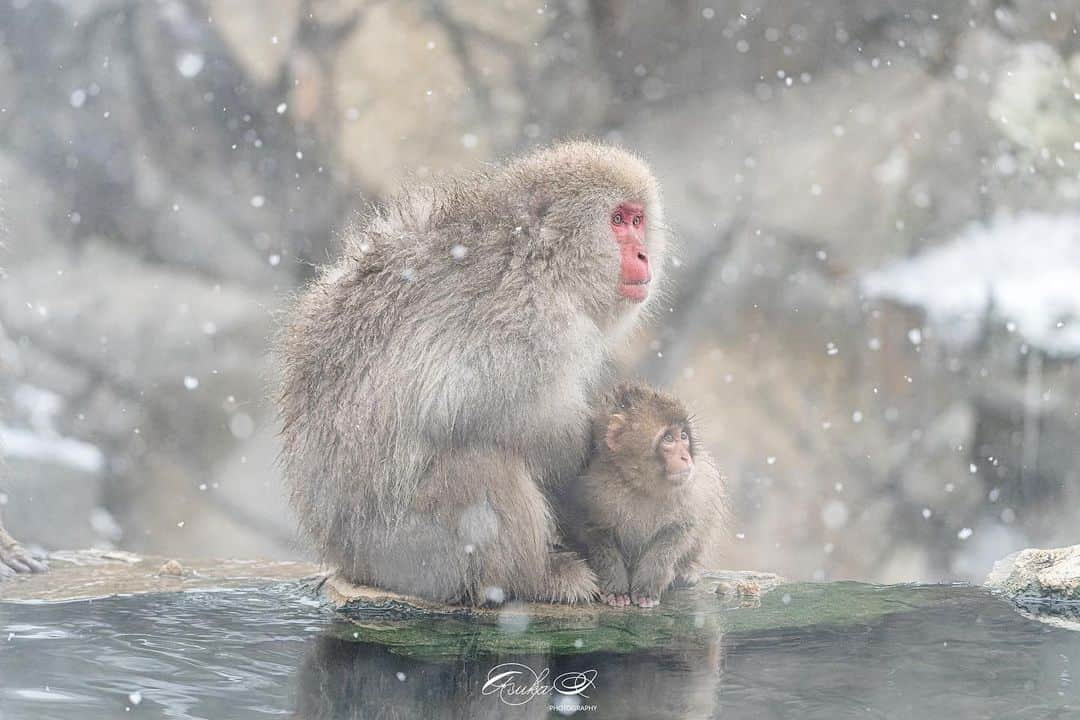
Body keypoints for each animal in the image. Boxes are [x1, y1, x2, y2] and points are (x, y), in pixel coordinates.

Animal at [565, 382, 725, 608]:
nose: (685, 457)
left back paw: (686, 571)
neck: (640, 486)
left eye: (684, 436)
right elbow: (596, 532)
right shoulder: (589, 488)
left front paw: (648, 587)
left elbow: (676, 533)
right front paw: (616, 587)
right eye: (669, 438)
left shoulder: (691, 492)